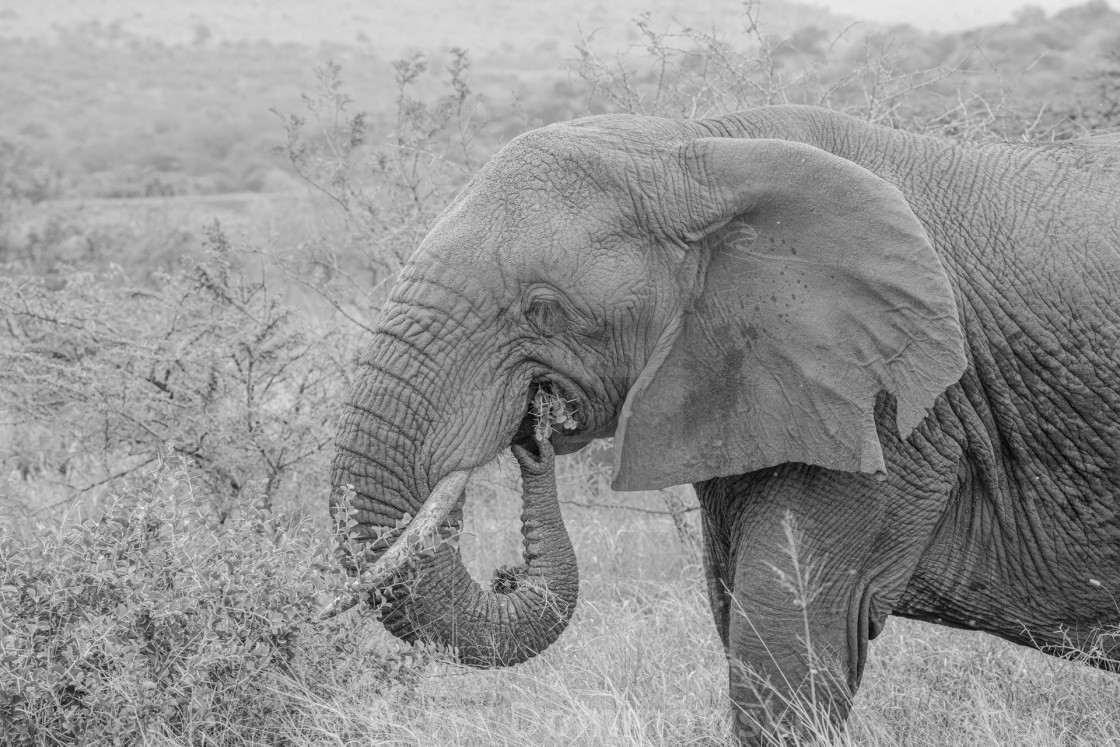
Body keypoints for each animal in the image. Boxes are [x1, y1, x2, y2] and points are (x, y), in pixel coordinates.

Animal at [329, 103, 1120, 743]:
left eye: (543, 308)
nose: (534, 431)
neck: (700, 149)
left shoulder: (889, 407)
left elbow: (783, 638)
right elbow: (742, 612)